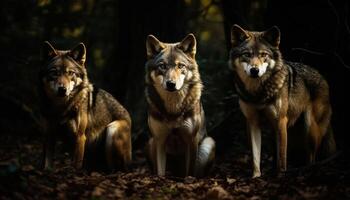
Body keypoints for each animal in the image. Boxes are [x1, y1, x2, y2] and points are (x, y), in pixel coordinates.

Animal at [39, 41, 132, 171]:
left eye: (70, 73)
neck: (61, 107)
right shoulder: (48, 135)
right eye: (54, 73)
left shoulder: (79, 136)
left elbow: (76, 164)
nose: (62, 89)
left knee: (116, 168)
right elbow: (47, 163)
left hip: (112, 129)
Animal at [144, 33, 215, 177]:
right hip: (150, 142)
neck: (173, 107)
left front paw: (189, 179)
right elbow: (160, 172)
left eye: (180, 66)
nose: (171, 84)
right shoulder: (159, 140)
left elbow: (190, 171)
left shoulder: (191, 139)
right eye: (163, 66)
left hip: (209, 143)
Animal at [228, 24, 338, 177]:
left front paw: (280, 175)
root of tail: (322, 76)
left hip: (310, 129)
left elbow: (282, 156)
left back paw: (307, 169)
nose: (255, 70)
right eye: (247, 55)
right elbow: (255, 156)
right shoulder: (252, 122)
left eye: (263, 55)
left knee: (311, 155)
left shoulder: (281, 120)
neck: (258, 93)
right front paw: (256, 176)